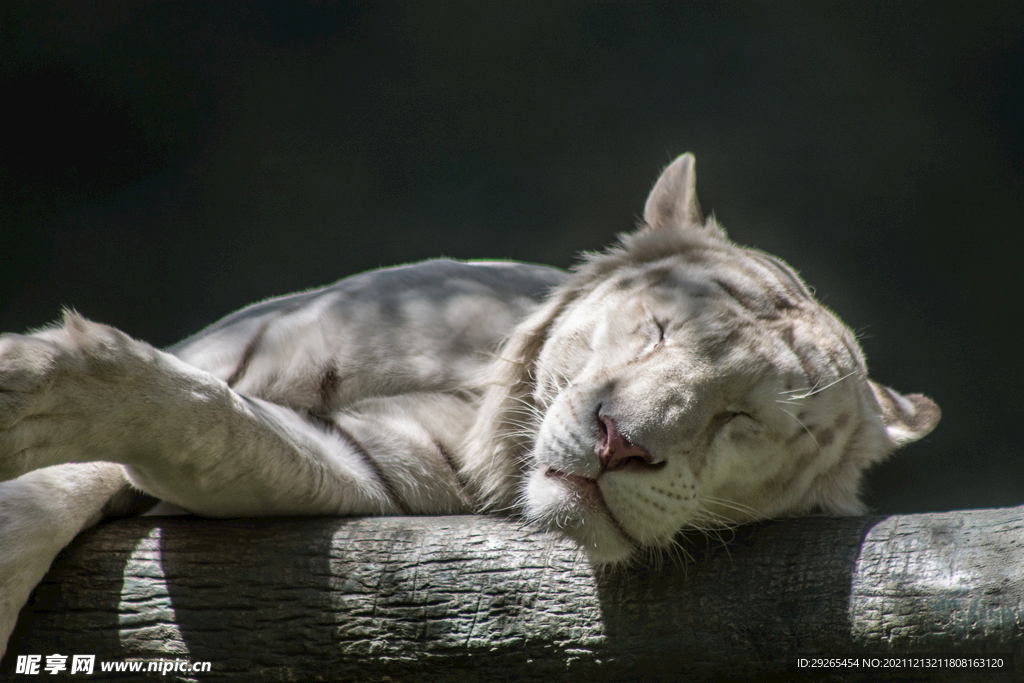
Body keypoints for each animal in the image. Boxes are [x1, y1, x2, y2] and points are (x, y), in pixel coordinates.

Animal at [0, 153, 939, 656]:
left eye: (747, 420)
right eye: (660, 329)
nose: (619, 442)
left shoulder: (367, 467)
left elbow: (209, 423)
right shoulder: (234, 347)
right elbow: (77, 470)